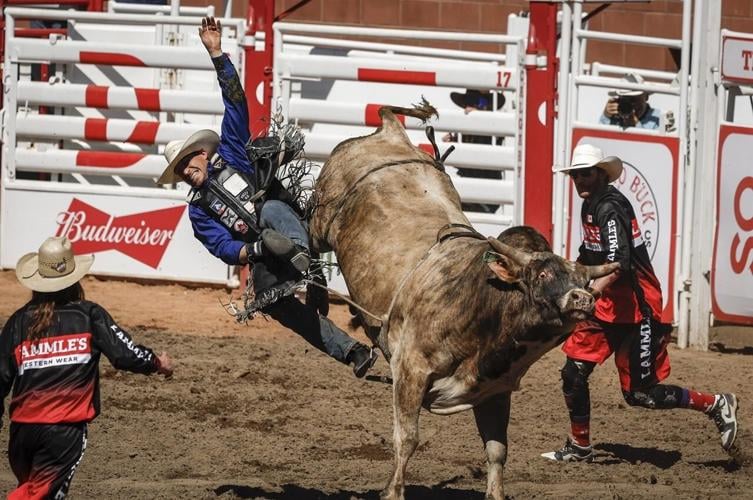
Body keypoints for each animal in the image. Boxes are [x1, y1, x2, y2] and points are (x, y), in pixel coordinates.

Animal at [306, 102, 616, 500]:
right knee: (306, 235)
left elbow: (497, 450)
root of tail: (390, 132)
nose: (582, 298)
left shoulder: (493, 391)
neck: (482, 303)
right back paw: (314, 290)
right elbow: (407, 438)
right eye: (543, 275)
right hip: (322, 219)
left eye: (584, 281)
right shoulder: (410, 369)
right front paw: (393, 491)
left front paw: (496, 493)